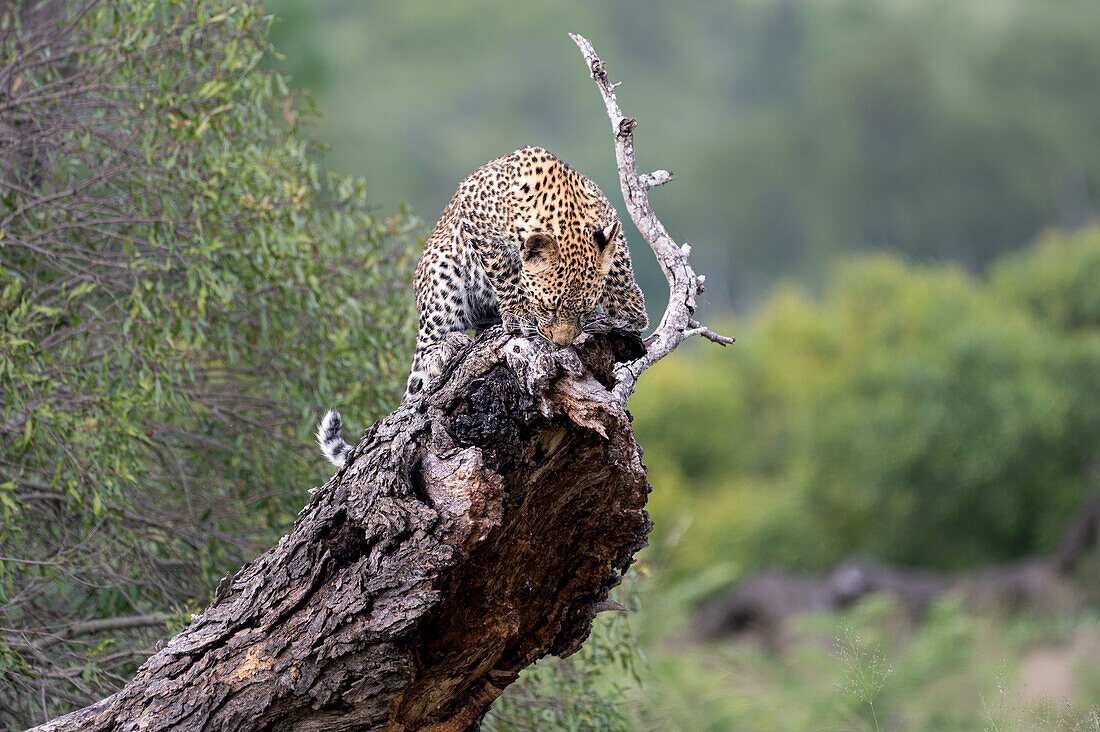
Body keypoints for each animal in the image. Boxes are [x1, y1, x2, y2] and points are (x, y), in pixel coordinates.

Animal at [316, 147, 642, 468]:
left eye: (584, 312)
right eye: (547, 309)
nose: (561, 343)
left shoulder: (607, 218)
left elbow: (619, 260)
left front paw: (630, 311)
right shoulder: (474, 210)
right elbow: (503, 269)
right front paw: (518, 313)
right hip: (442, 280)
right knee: (429, 345)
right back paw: (445, 349)